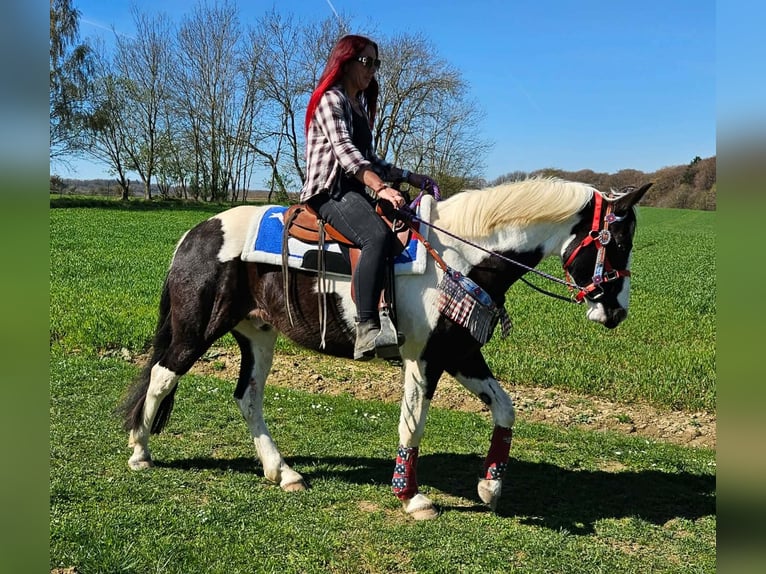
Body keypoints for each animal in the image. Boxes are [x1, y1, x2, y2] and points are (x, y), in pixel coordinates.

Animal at [119, 176, 651, 520]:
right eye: (618, 242)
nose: (618, 310)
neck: (463, 256)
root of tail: (196, 233)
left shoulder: (459, 353)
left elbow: (505, 408)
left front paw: (491, 486)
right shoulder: (424, 359)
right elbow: (412, 424)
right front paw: (412, 498)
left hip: (258, 333)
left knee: (247, 396)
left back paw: (282, 471)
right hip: (195, 330)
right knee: (163, 375)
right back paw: (140, 452)